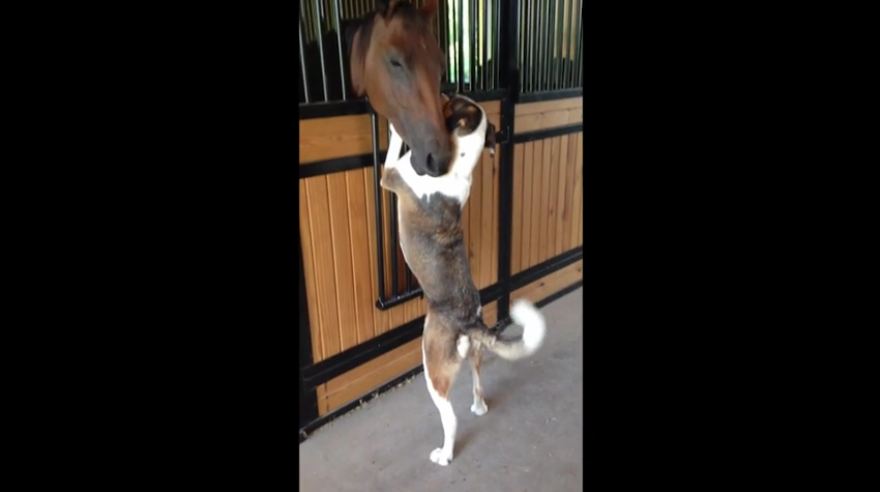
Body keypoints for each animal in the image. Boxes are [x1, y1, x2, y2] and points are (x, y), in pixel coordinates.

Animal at [382, 95, 548, 466]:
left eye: (450, 102)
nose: (444, 90)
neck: (459, 165)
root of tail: (470, 322)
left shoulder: (391, 175)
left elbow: (393, 148)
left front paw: (392, 122)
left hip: (432, 367)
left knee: (451, 417)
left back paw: (445, 453)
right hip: (474, 355)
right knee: (477, 381)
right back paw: (479, 405)